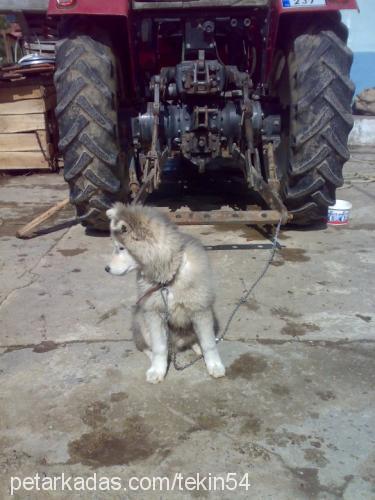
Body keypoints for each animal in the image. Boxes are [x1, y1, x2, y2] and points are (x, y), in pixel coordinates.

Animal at [104, 203, 225, 382]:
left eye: (121, 248)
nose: (106, 269)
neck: (168, 280)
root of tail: (177, 343)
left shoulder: (200, 310)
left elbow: (209, 344)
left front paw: (215, 366)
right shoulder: (154, 313)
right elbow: (160, 347)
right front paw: (157, 370)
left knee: (194, 340)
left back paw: (197, 348)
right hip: (141, 321)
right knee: (148, 346)